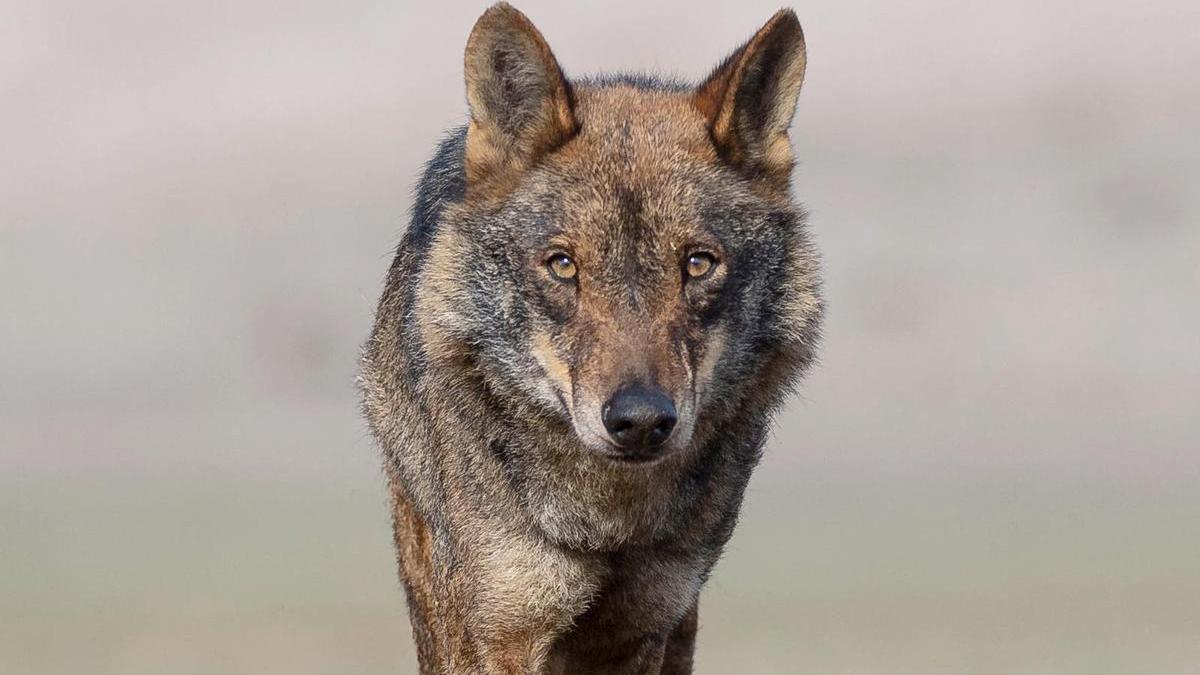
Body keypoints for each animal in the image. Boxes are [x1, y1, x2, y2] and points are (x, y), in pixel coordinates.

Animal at [360, 3, 822, 673]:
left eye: (698, 264)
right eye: (562, 265)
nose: (640, 421)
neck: (605, 522)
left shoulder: (642, 627)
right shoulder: (497, 632)